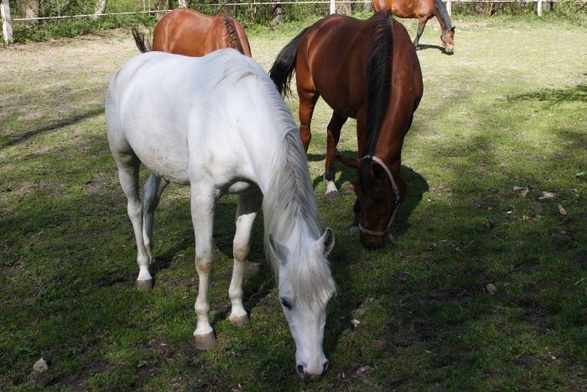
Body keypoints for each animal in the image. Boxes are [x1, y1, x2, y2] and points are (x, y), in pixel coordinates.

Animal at [104, 49, 336, 380]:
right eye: (285, 301)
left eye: (329, 298)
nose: (314, 368)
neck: (235, 116)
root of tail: (131, 66)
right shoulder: (203, 195)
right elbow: (204, 260)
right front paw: (203, 329)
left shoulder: (251, 194)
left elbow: (241, 249)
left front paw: (238, 312)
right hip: (124, 158)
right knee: (135, 209)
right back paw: (144, 272)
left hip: (159, 164)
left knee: (150, 201)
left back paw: (150, 252)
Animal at [268, 11, 424, 251]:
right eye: (358, 193)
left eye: (381, 198)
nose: (369, 241)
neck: (392, 60)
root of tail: (314, 28)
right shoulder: (364, 117)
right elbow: (363, 155)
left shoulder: (408, 118)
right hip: (308, 94)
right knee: (305, 134)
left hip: (340, 104)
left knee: (332, 132)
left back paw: (330, 183)